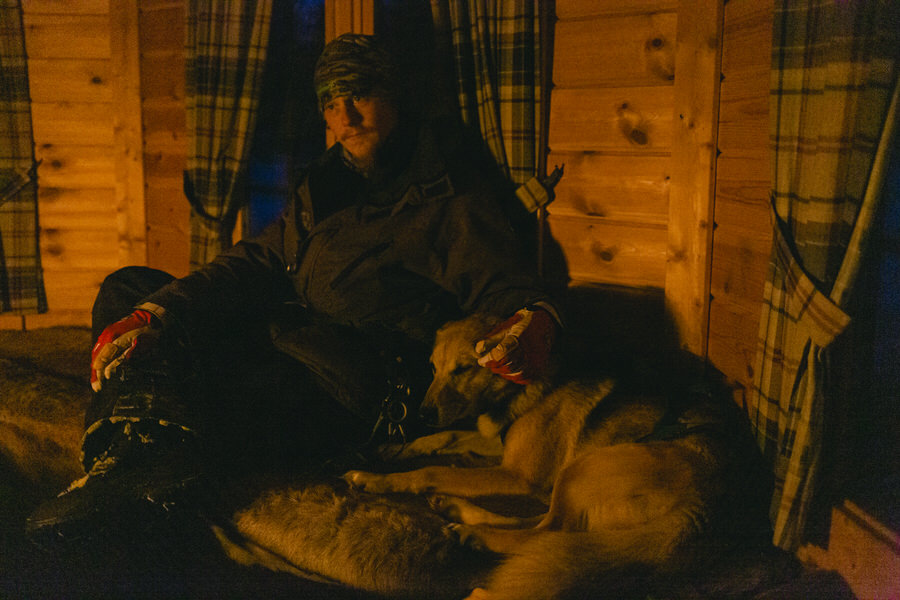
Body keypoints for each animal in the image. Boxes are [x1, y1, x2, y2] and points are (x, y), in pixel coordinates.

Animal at [344, 314, 768, 600]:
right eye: (432, 367)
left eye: (463, 369)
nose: (422, 414)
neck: (523, 383)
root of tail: (712, 506)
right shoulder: (502, 451)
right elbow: (445, 437)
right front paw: (393, 448)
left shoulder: (517, 474)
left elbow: (434, 469)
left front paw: (377, 478)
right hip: (575, 479)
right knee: (541, 525)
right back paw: (454, 510)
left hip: (585, 468)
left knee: (545, 532)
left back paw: (473, 533)